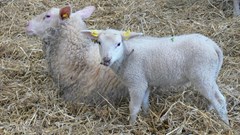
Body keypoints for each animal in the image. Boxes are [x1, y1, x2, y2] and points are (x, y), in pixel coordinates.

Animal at [81, 29, 230, 125]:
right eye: (99, 43)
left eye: (118, 44)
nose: (106, 60)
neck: (126, 56)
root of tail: (213, 45)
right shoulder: (145, 82)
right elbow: (145, 102)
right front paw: (146, 115)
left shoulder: (137, 83)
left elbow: (133, 107)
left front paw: (131, 125)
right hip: (209, 76)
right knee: (217, 97)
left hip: (202, 76)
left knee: (220, 100)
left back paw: (225, 123)